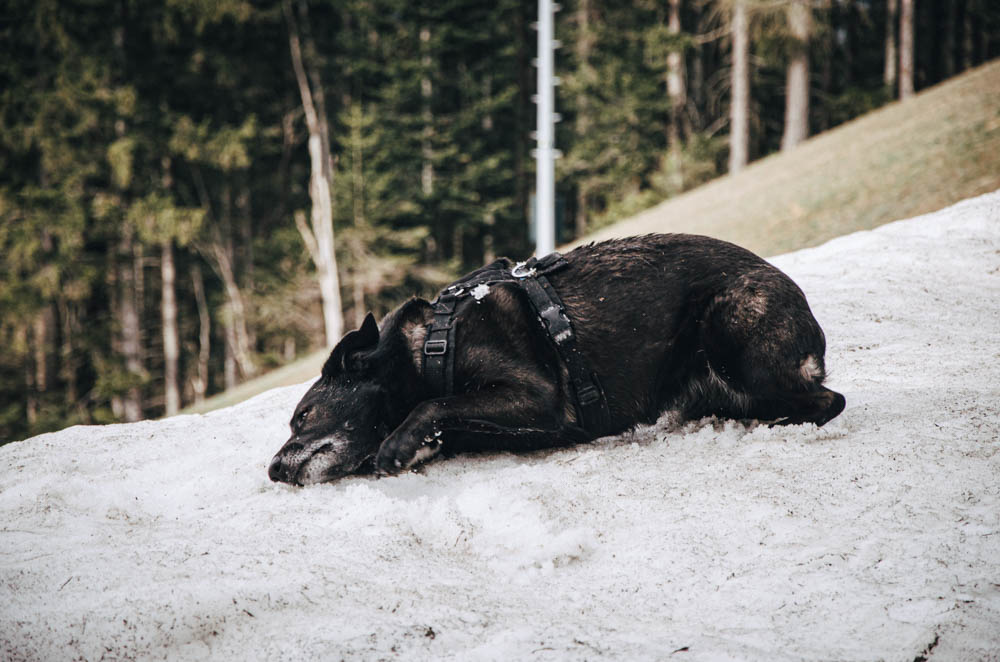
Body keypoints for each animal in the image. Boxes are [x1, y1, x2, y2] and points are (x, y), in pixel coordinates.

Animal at [268, 236, 844, 486]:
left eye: (302, 417)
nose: (273, 469)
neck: (428, 345)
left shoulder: (539, 396)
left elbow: (431, 406)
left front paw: (396, 443)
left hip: (729, 326)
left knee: (828, 402)